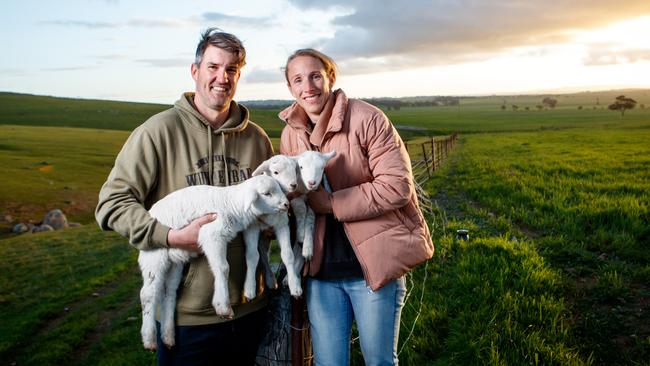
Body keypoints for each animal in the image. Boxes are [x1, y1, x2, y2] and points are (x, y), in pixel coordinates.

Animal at [139, 176, 298, 350]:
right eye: (266, 193)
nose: (286, 204)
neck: (232, 204)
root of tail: (151, 211)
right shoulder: (212, 235)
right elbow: (223, 268)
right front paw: (223, 306)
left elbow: (220, 268)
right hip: (154, 254)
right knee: (148, 293)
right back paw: (149, 337)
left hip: (175, 260)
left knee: (169, 291)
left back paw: (168, 335)